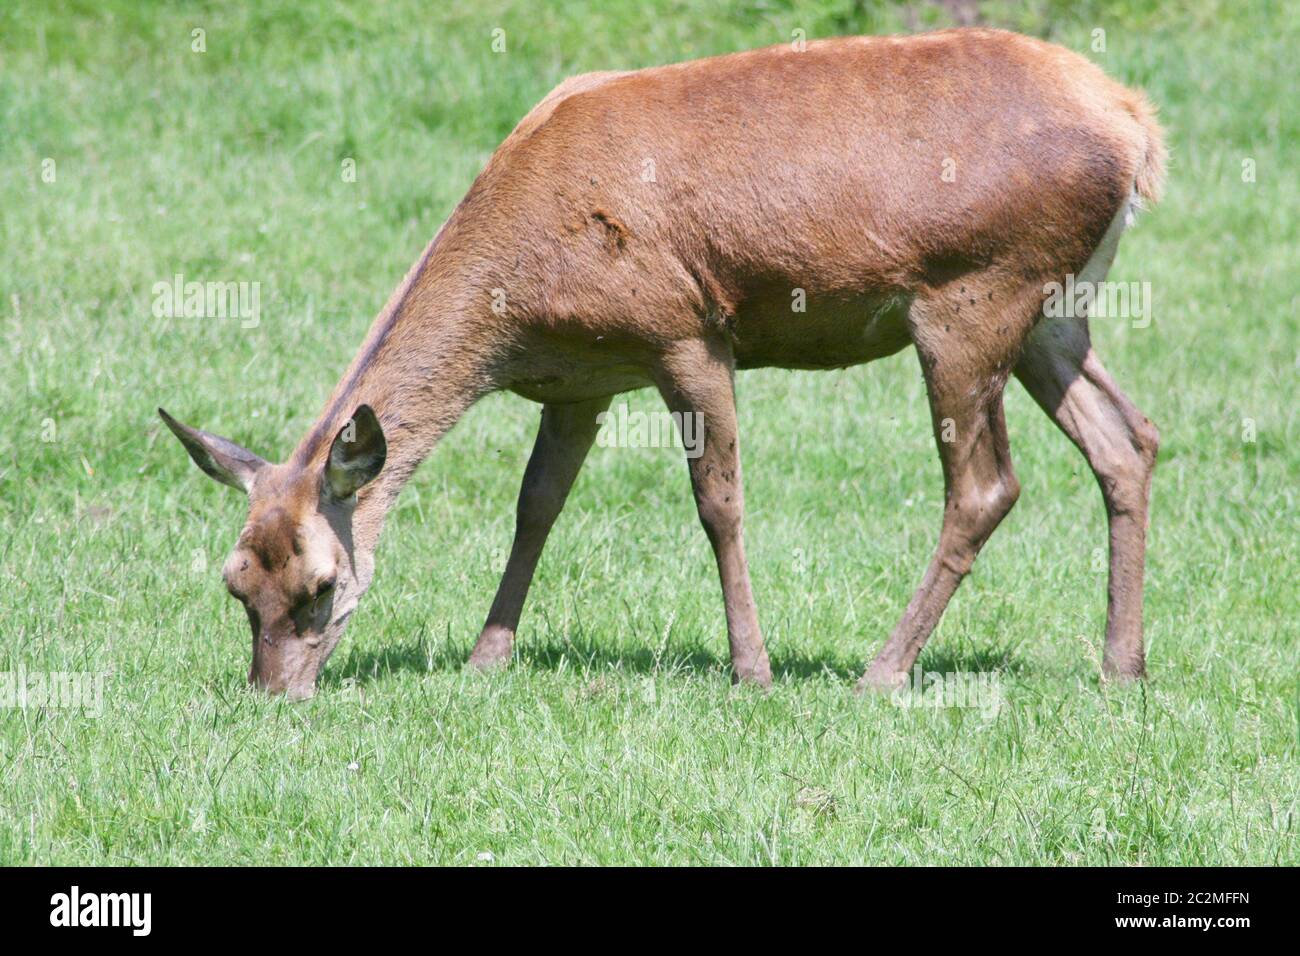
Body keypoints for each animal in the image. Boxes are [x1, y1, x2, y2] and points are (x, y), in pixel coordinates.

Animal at [159, 29, 1170, 697]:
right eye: (236, 582)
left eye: (320, 588)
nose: (270, 691)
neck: (520, 305)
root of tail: (1137, 128)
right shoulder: (580, 381)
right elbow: (536, 505)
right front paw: (487, 657)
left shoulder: (685, 332)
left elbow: (718, 504)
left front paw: (752, 670)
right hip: (1054, 315)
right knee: (1129, 440)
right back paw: (1121, 665)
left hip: (973, 298)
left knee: (986, 486)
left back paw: (881, 671)